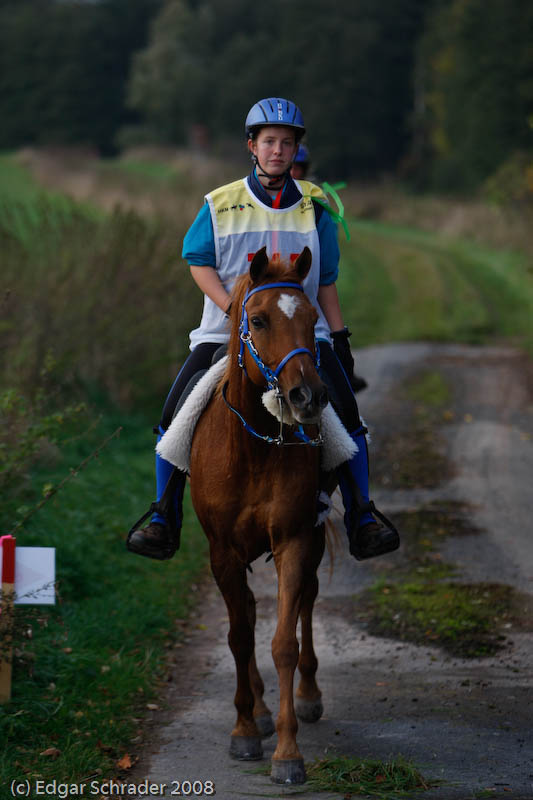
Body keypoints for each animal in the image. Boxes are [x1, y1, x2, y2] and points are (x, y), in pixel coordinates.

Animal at [187, 244, 328, 780]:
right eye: (261, 320)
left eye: (312, 318)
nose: (308, 397)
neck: (252, 448)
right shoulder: (223, 553)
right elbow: (239, 636)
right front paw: (246, 730)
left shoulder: (293, 540)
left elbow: (283, 642)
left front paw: (288, 753)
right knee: (245, 612)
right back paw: (261, 711)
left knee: (307, 599)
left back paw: (307, 696)